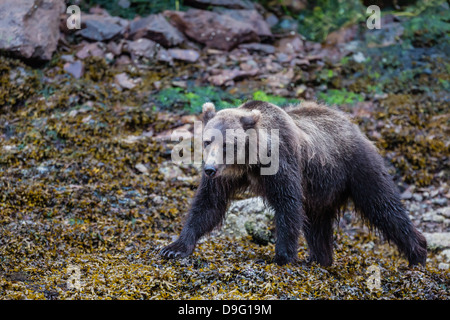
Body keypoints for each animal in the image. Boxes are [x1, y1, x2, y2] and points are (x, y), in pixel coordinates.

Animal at [160, 99, 428, 264]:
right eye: (207, 141)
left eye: (227, 144)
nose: (209, 169)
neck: (250, 162)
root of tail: (352, 124)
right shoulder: (226, 176)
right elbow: (208, 205)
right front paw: (174, 248)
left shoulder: (282, 160)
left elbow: (287, 204)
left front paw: (282, 257)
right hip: (321, 190)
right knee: (317, 225)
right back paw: (320, 259)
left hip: (356, 166)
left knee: (383, 206)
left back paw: (418, 253)